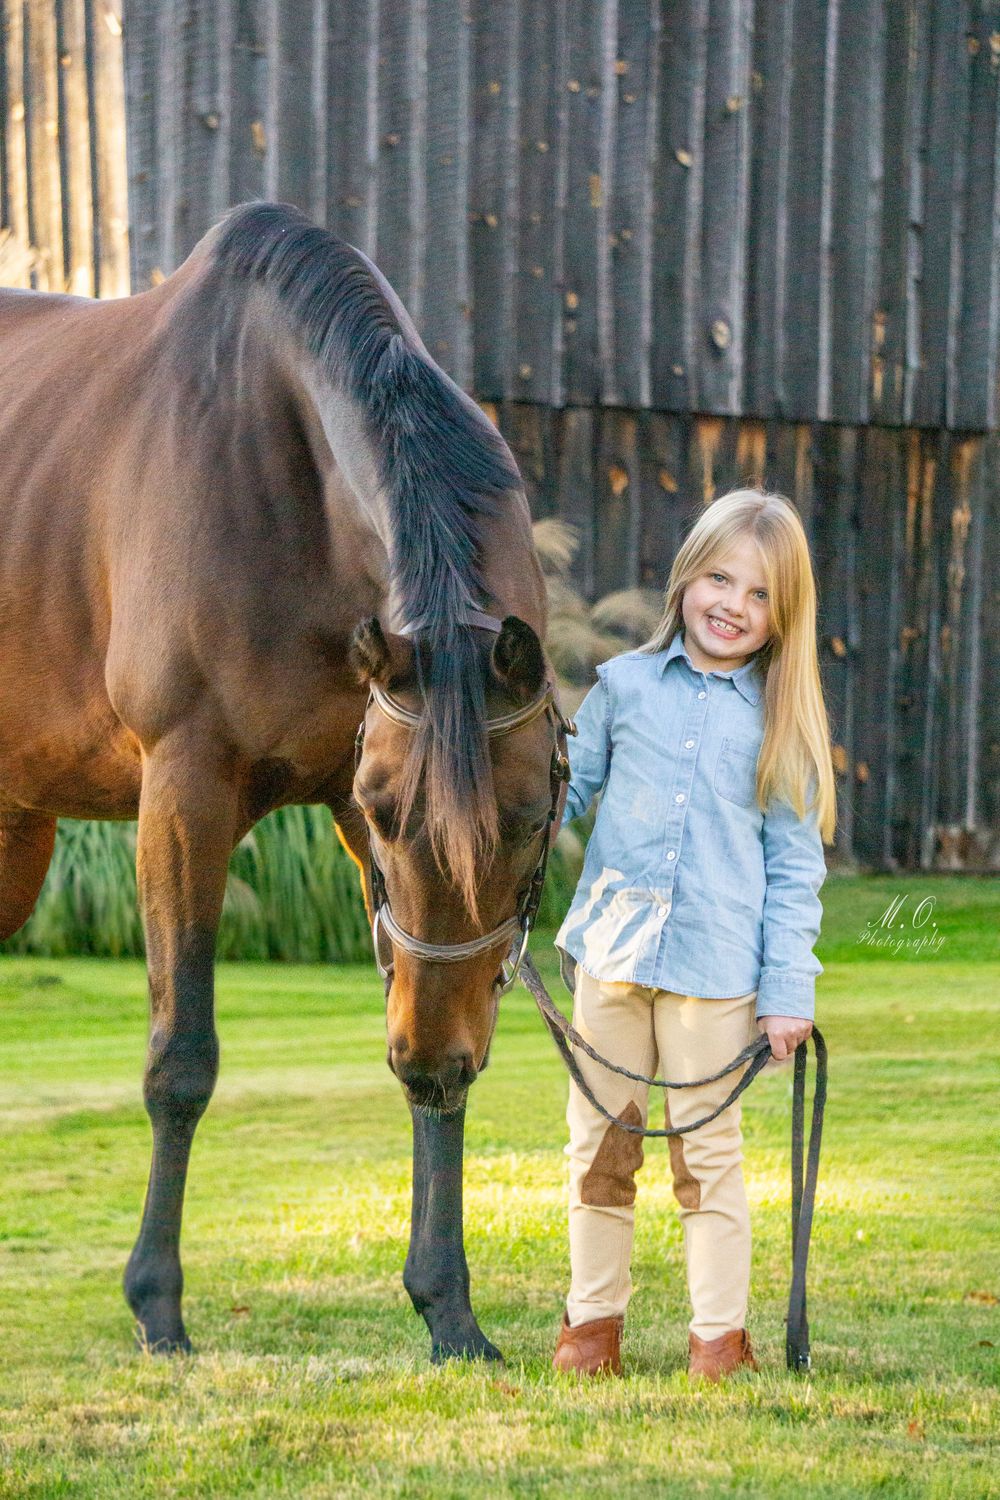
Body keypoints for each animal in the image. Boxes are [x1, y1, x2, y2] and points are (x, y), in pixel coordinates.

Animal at [0, 201, 571, 1362]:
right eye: (397, 817)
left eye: (533, 820)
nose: (438, 1058)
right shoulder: (186, 791)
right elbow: (181, 1058)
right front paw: (158, 1305)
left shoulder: (346, 795)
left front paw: (449, 1309)